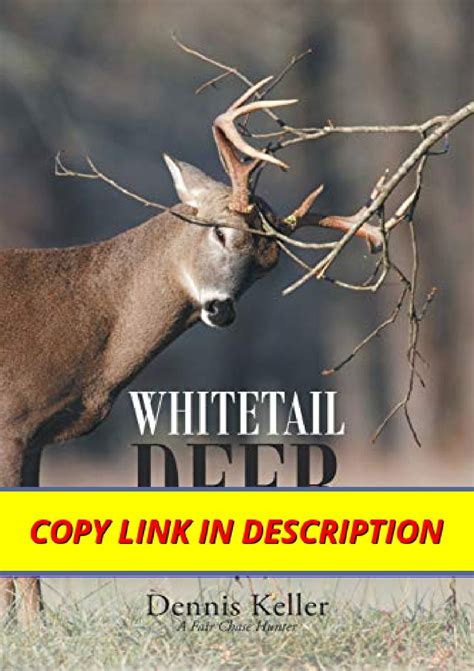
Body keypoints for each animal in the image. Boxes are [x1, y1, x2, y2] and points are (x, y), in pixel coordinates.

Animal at [0, 78, 382, 624]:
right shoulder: (11, 421)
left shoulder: (33, 437)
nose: (222, 308)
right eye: (219, 230)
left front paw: (31, 627)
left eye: (268, 265)